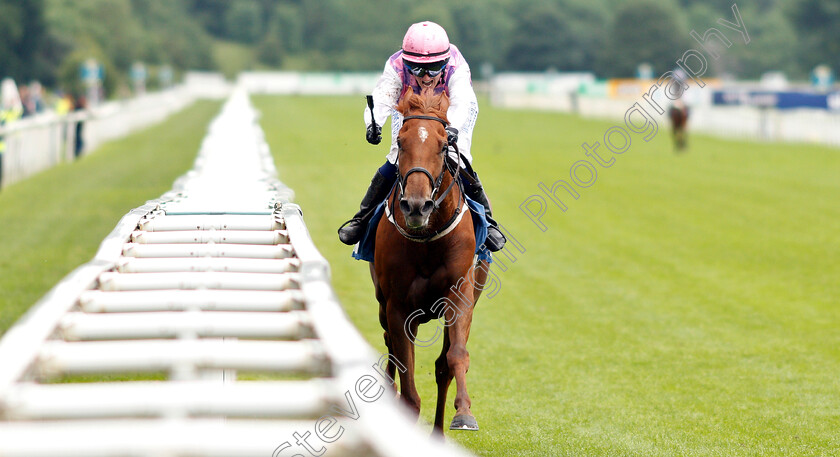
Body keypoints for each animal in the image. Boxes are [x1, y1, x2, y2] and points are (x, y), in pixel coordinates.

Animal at [370, 89, 488, 434]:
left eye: (443, 144)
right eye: (401, 140)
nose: (416, 206)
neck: (427, 240)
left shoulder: (460, 298)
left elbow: (454, 357)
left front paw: (464, 413)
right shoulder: (397, 307)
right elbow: (408, 385)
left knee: (442, 365)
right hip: (383, 302)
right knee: (390, 346)